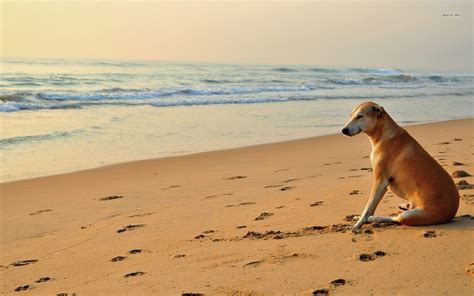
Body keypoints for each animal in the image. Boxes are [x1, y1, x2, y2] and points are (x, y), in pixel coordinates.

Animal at [340, 101, 460, 229]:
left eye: (360, 116)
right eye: (351, 116)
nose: (343, 130)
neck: (383, 134)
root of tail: (451, 215)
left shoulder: (380, 181)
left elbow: (368, 209)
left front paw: (357, 224)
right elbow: (370, 208)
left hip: (410, 215)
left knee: (395, 219)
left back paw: (372, 218)